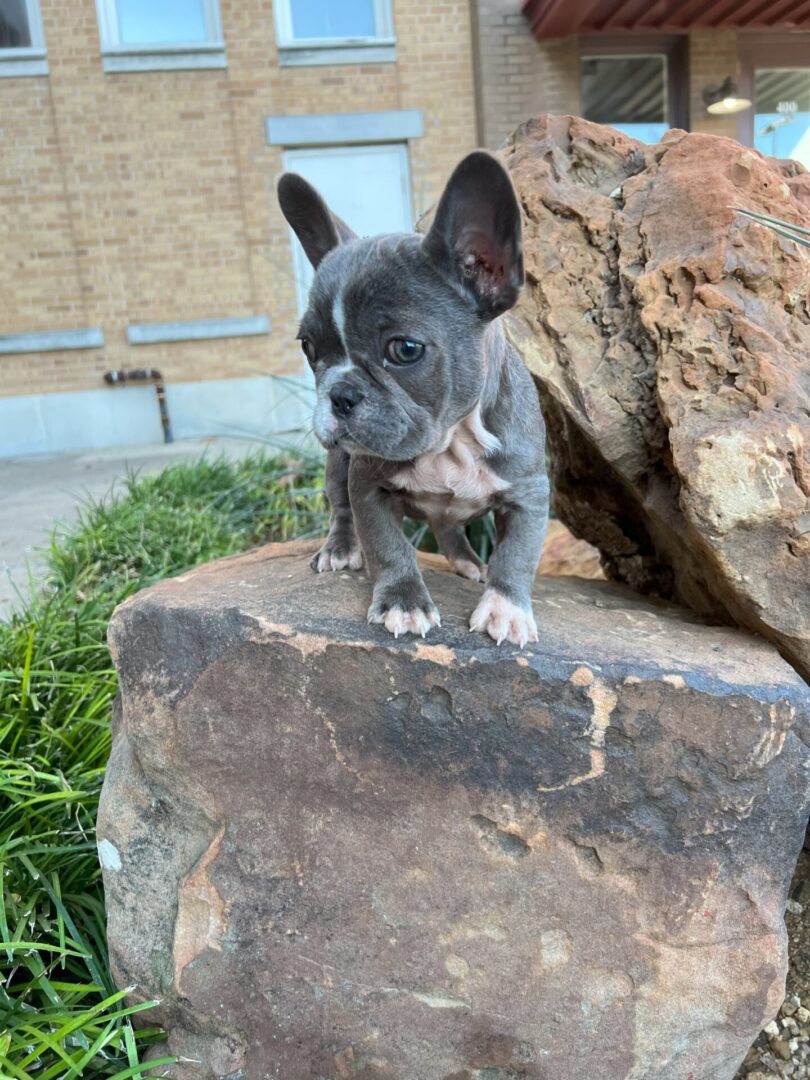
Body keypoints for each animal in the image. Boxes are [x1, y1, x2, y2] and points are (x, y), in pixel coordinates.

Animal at [278, 149, 552, 643]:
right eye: (308, 347)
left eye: (404, 349)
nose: (339, 393)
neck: (450, 442)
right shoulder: (366, 483)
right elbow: (388, 546)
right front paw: (404, 601)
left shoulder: (529, 491)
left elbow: (517, 555)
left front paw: (506, 608)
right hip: (337, 466)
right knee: (340, 508)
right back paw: (340, 548)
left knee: (450, 528)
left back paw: (468, 562)